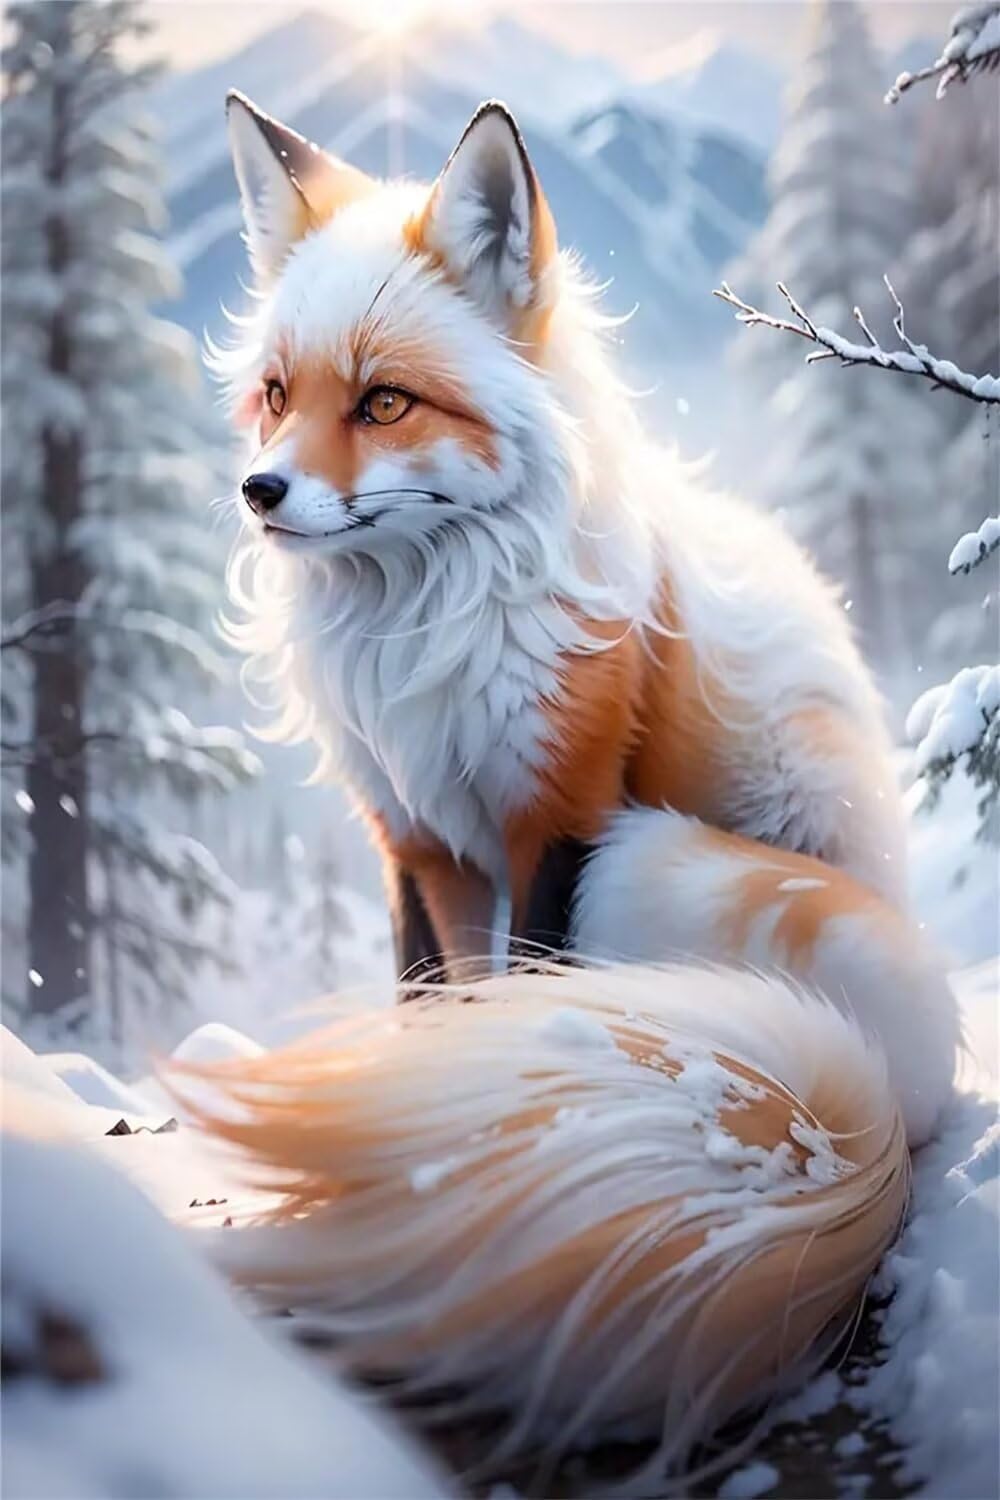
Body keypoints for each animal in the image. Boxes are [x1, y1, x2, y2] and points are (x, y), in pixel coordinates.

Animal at [194, 92, 960, 1483]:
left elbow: (515, 997)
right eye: (276, 395)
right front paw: (409, 1166)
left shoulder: (558, 813)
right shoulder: (412, 841)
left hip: (650, 856)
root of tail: (895, 1094)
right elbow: (431, 1009)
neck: (422, 637)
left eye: (383, 402)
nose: (259, 490)